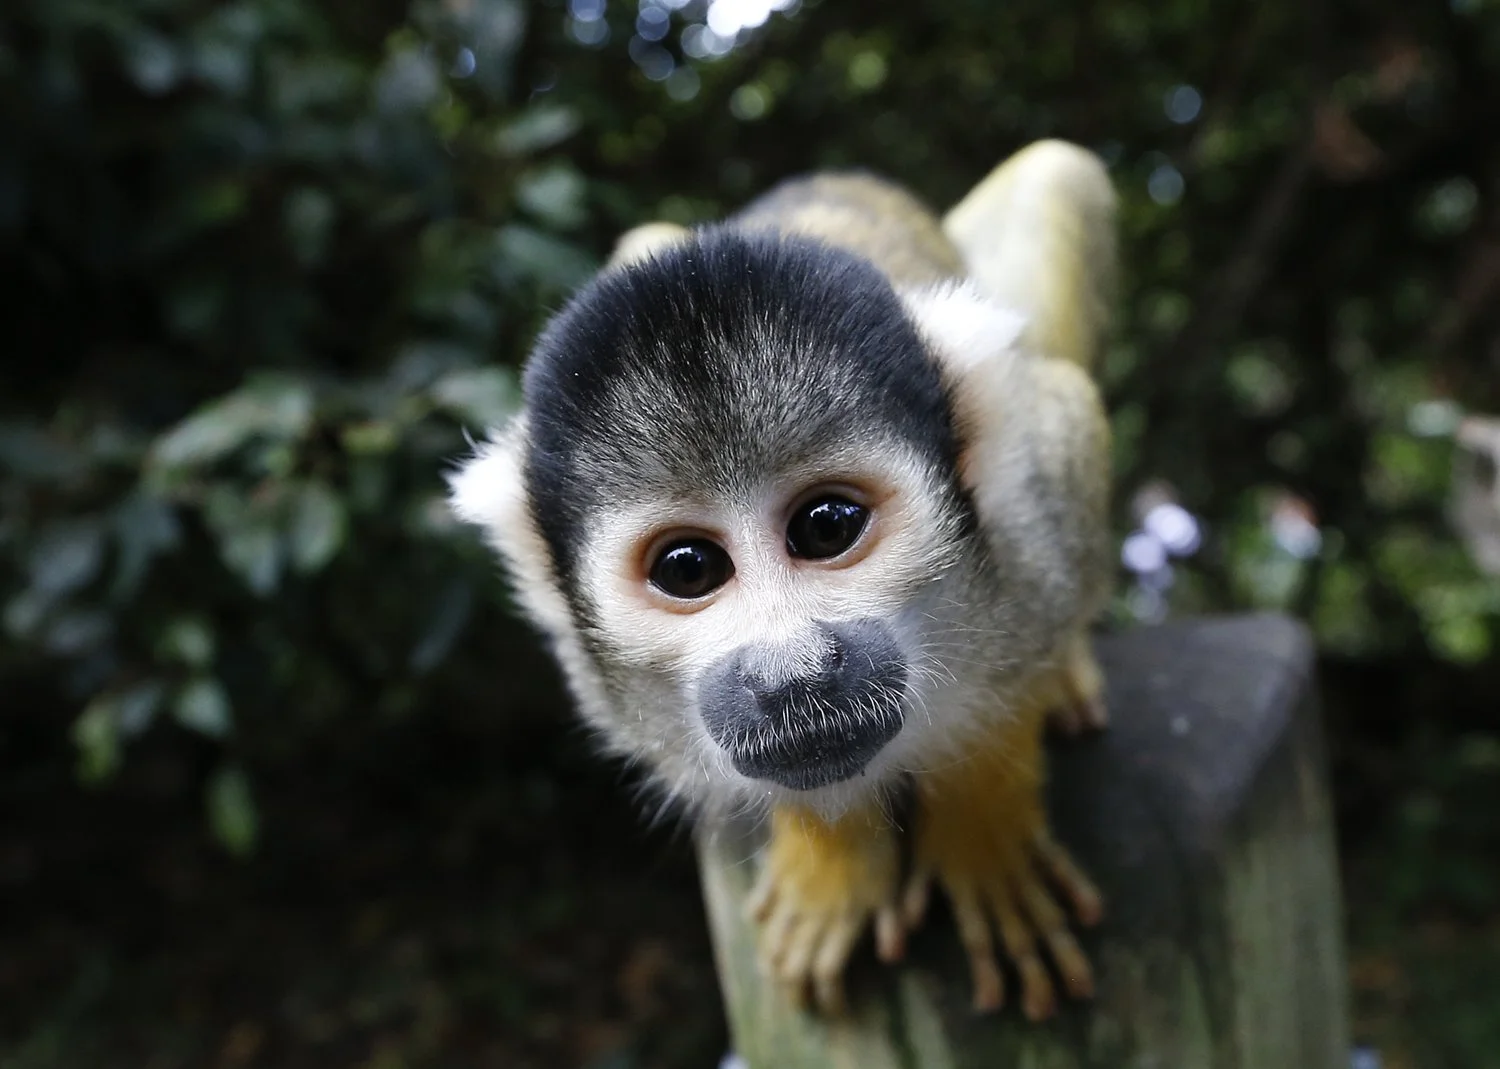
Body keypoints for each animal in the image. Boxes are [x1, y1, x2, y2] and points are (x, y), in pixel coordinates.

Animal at [448, 139, 1119, 1020]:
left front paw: (982, 826)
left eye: (826, 527)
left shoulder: (1038, 508)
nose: (790, 675)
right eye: (688, 568)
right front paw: (831, 857)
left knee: (1055, 171)